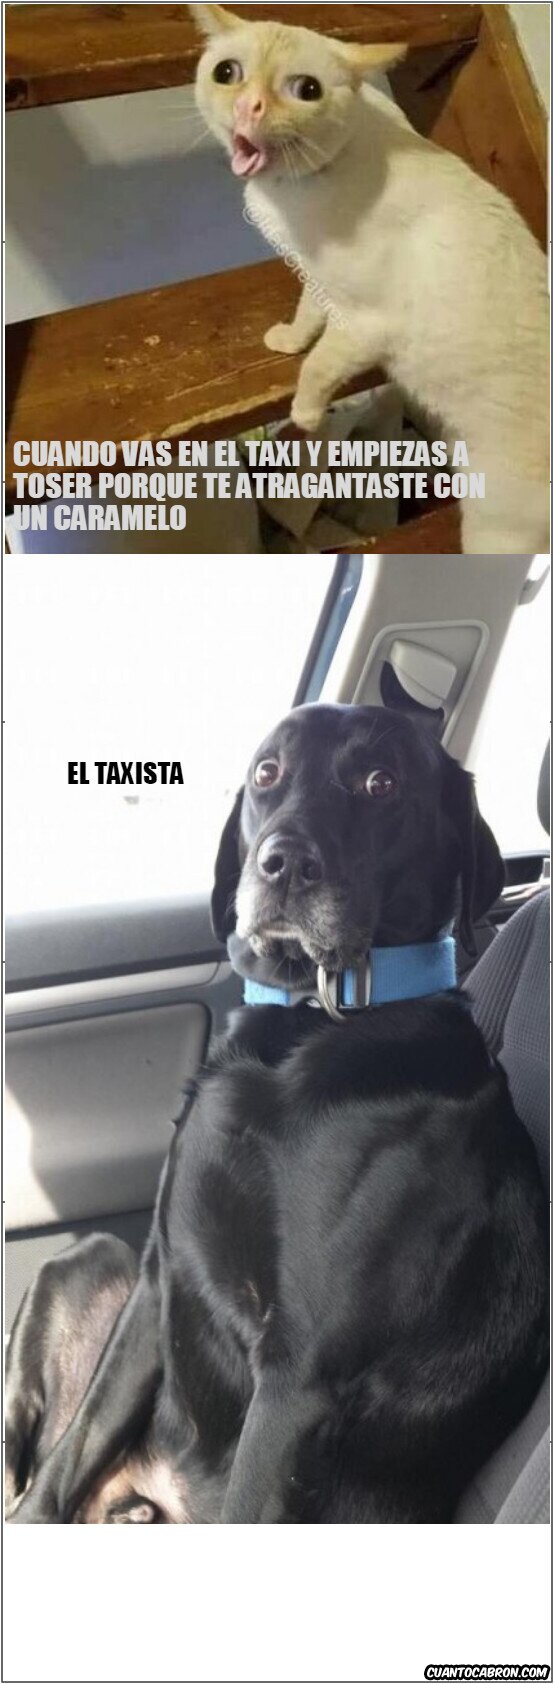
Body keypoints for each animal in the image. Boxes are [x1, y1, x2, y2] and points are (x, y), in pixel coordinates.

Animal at [6, 704, 549, 1523]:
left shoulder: (298, 1379)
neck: (311, 1023)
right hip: (92, 1259)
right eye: (268, 772)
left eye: (381, 782)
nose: (283, 863)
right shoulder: (161, 1277)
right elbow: (74, 1449)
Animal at [190, 4, 549, 555]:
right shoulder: (318, 280)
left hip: (495, 529)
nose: (250, 106)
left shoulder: (366, 322)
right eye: (227, 73)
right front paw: (288, 340)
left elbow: (319, 366)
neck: (288, 193)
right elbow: (305, 320)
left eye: (306, 89)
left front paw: (306, 416)